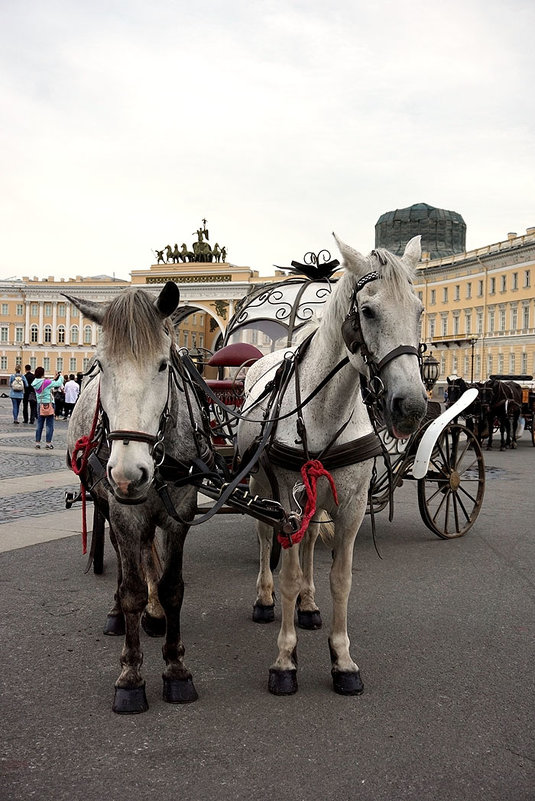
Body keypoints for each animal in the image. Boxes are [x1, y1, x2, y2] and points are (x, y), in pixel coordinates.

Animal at [238, 233, 428, 692]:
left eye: (419, 310)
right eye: (368, 311)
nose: (412, 407)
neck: (325, 409)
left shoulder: (352, 507)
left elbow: (341, 579)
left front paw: (342, 659)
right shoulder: (286, 504)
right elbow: (288, 574)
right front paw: (285, 660)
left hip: (315, 494)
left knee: (307, 543)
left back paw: (308, 605)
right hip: (261, 488)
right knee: (265, 539)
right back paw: (265, 598)